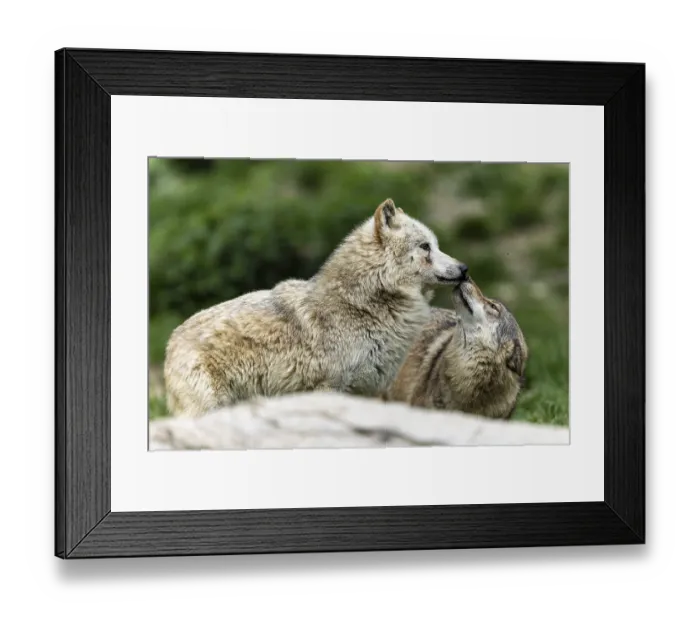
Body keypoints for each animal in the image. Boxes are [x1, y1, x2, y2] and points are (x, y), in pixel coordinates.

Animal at [164, 199, 468, 417]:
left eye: (436, 245)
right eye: (425, 247)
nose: (464, 268)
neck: (362, 304)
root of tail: (170, 342)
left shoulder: (367, 393)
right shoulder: (329, 388)